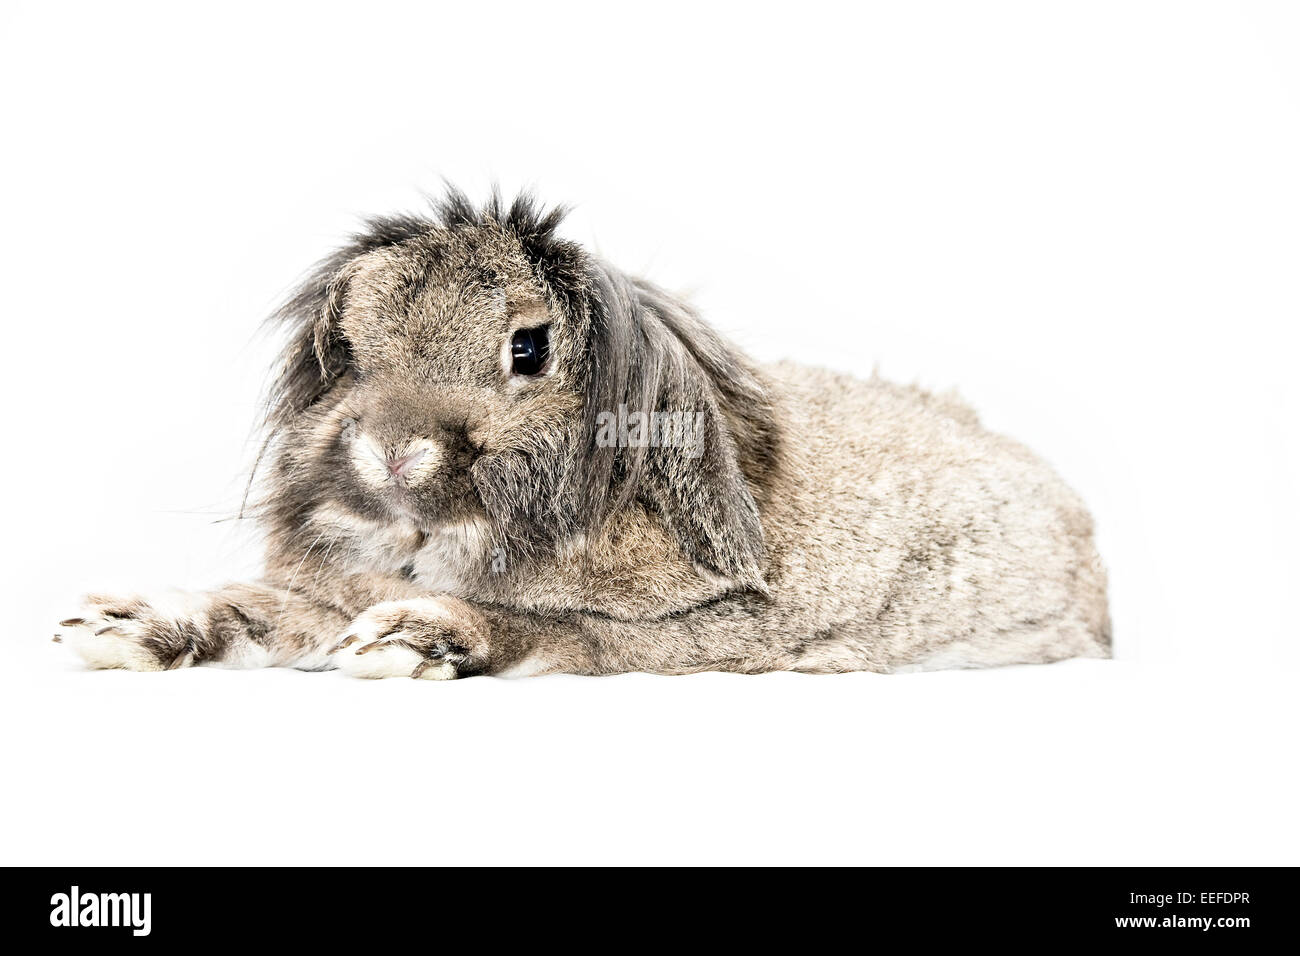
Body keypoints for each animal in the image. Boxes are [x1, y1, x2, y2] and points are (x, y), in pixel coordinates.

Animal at [57, 189, 1111, 679]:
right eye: (349, 350)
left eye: (529, 348)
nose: (390, 448)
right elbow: (257, 614)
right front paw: (116, 626)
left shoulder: (680, 639)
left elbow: (547, 628)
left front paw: (410, 639)